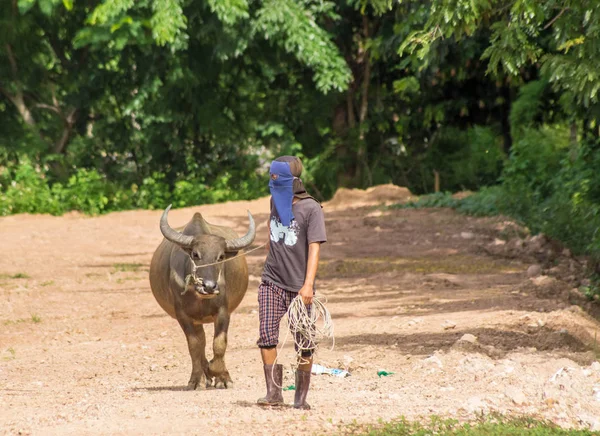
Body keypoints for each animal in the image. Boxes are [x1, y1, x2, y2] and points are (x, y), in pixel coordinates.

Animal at [150, 206, 255, 390]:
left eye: (220, 257)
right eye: (195, 254)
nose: (209, 286)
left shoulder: (223, 311)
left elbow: (219, 344)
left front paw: (221, 376)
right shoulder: (182, 315)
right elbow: (194, 346)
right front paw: (195, 380)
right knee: (201, 342)